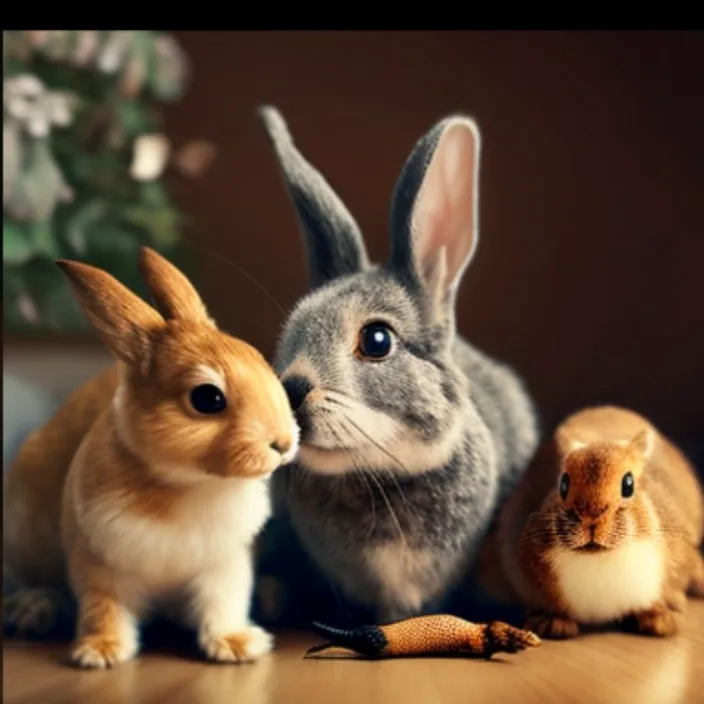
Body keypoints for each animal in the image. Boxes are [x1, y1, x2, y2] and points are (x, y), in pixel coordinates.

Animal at [0, 250, 296, 668]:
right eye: (208, 398)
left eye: (258, 360)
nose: (284, 442)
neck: (185, 483)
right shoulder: (99, 564)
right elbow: (104, 608)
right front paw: (100, 653)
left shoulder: (225, 564)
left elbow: (224, 603)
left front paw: (237, 644)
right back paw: (32, 610)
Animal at [496, 404, 704, 640]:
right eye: (563, 484)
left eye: (628, 484)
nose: (591, 519)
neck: (600, 558)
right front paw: (552, 623)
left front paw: (659, 621)